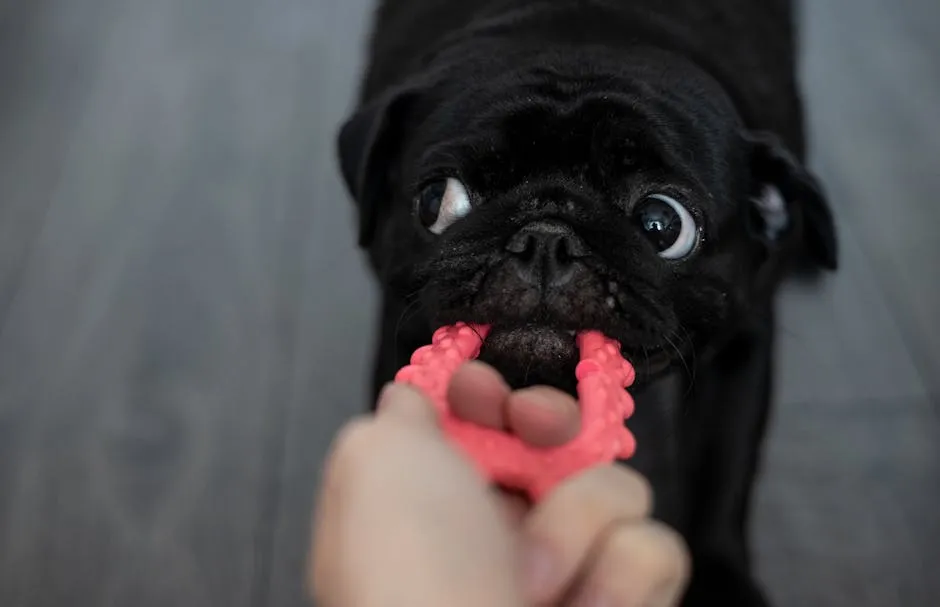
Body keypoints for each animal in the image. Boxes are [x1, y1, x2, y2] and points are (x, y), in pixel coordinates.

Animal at [338, 1, 836, 604]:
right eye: (439, 201)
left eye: (663, 224)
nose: (546, 238)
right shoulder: (403, 327)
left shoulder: (744, 343)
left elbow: (721, 466)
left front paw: (721, 579)